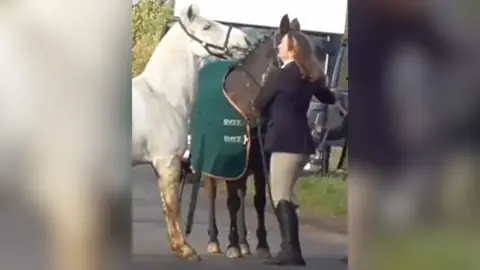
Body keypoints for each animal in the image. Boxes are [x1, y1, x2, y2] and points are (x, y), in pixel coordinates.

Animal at [131, 3, 251, 260]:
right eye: (206, 26)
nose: (245, 39)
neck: (162, 96)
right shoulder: (167, 161)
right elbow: (172, 203)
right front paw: (185, 249)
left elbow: (167, 204)